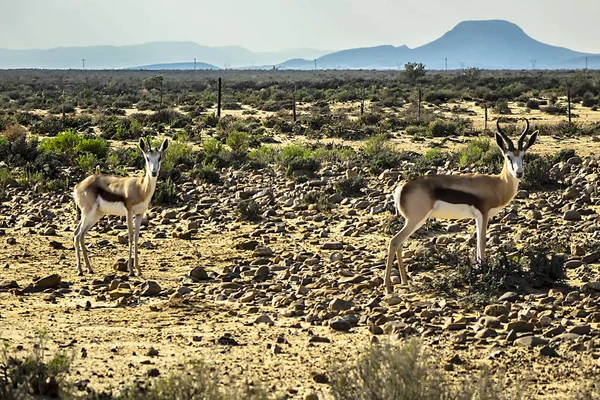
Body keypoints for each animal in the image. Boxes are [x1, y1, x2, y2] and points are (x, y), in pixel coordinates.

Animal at [75, 138, 170, 276]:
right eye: (147, 157)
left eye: (160, 157)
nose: (154, 172)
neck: (141, 188)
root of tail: (78, 185)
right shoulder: (129, 212)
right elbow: (130, 237)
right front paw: (130, 270)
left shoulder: (140, 214)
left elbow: (136, 238)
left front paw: (138, 269)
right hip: (87, 213)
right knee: (77, 235)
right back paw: (80, 270)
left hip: (96, 214)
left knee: (80, 234)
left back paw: (89, 268)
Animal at [384, 119, 540, 294]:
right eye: (508, 156)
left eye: (523, 155)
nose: (519, 173)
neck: (497, 184)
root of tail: (403, 188)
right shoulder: (483, 214)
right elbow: (482, 242)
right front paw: (483, 271)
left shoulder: (478, 217)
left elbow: (478, 243)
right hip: (415, 220)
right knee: (394, 242)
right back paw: (388, 288)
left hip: (414, 221)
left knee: (400, 244)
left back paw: (404, 281)